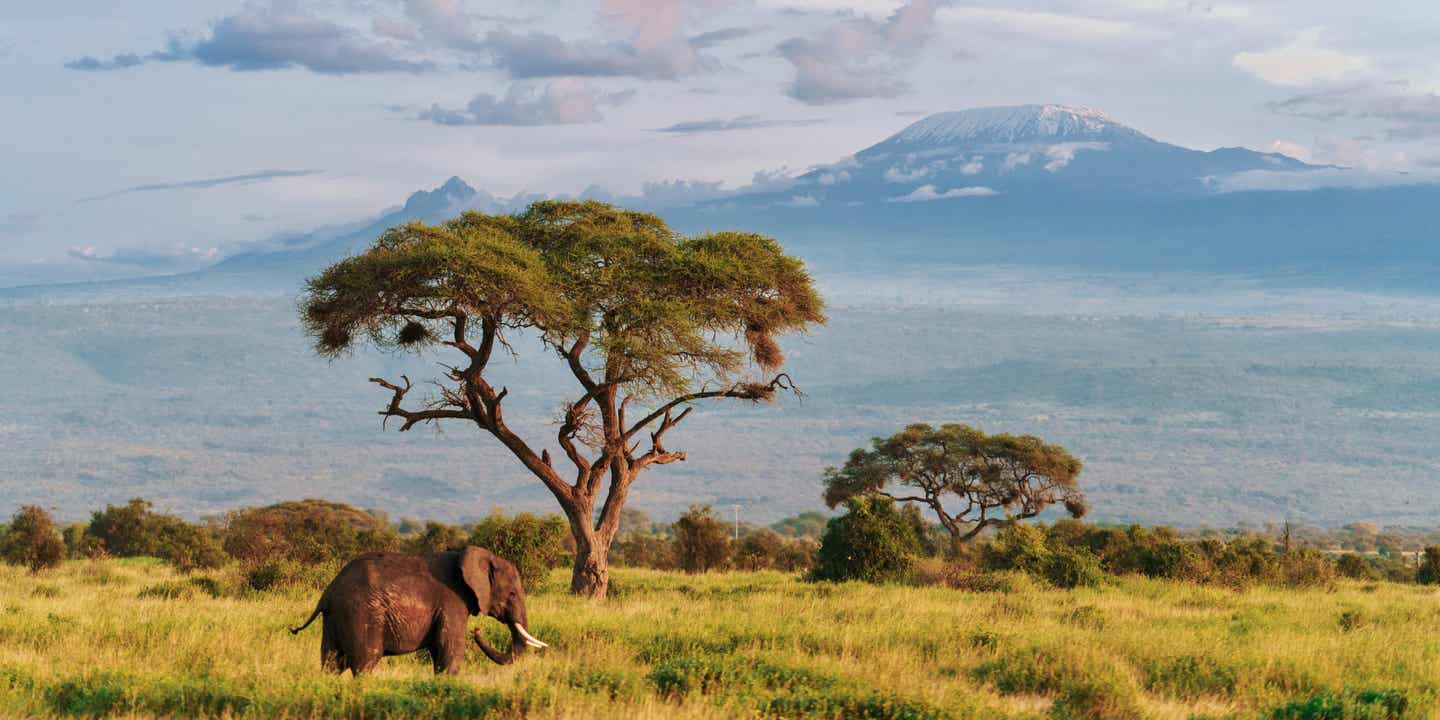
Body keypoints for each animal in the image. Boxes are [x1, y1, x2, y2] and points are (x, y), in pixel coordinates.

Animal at [289, 546, 548, 675]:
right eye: (512, 594)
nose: (477, 631)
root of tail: (328, 593)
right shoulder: (452, 602)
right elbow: (450, 652)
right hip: (360, 614)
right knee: (365, 661)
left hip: (334, 619)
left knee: (332, 664)